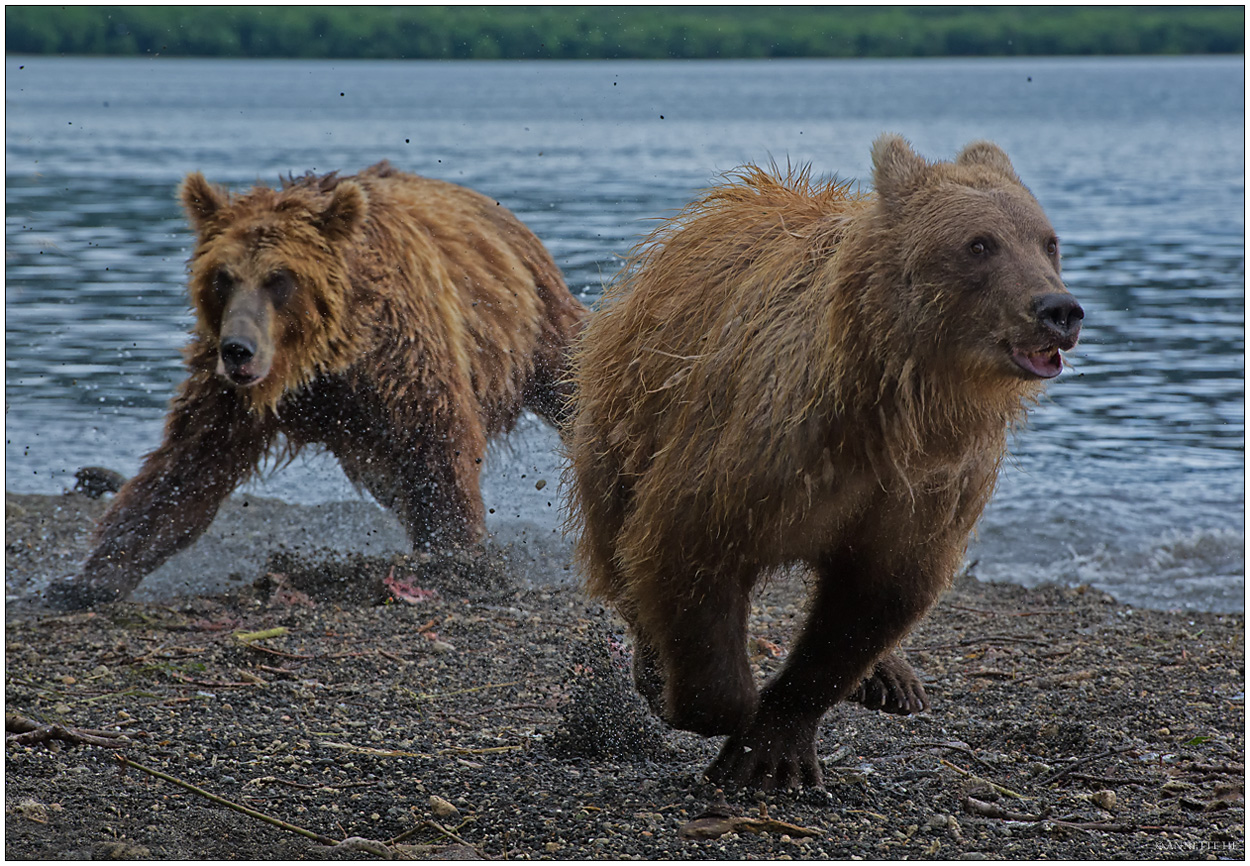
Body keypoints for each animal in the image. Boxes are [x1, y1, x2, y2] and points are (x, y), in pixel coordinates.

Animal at [51, 162, 587, 607]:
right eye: (223, 276)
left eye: (279, 278)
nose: (238, 349)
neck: (318, 359)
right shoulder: (228, 395)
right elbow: (186, 468)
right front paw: (87, 579)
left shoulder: (399, 353)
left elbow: (436, 442)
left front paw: (455, 559)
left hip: (539, 319)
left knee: (573, 383)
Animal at [567, 134, 1085, 789]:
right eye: (979, 243)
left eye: (1048, 241)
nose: (1058, 309)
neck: (888, 410)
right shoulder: (756, 452)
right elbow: (688, 550)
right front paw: (706, 704)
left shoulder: (926, 490)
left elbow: (872, 600)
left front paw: (774, 750)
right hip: (621, 423)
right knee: (620, 544)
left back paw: (891, 677)